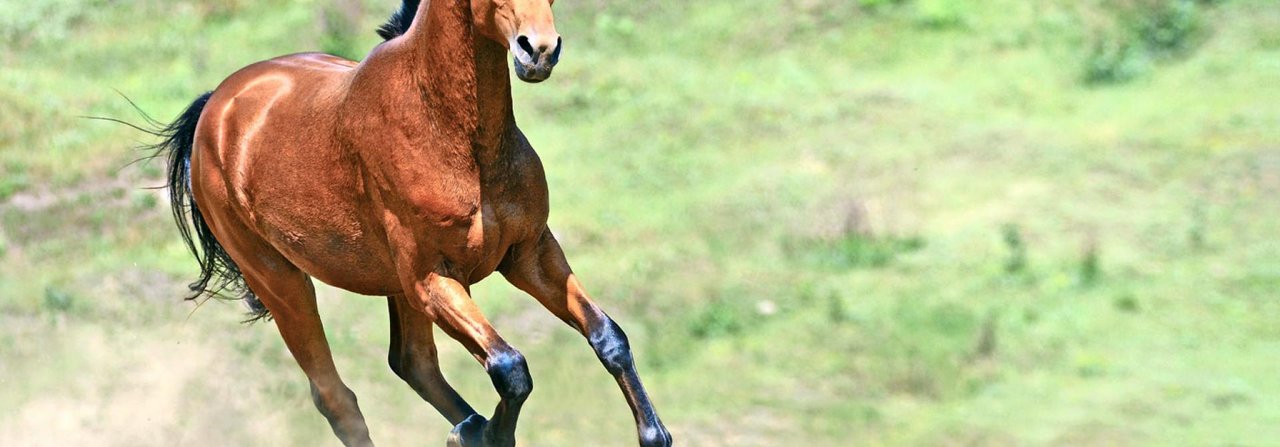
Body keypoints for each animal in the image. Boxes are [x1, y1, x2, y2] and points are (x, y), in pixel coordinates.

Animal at [146, 0, 675, 445]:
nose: (539, 50)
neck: (456, 135)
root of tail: (215, 107)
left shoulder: (529, 253)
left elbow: (608, 337)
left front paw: (655, 435)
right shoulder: (432, 278)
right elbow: (510, 367)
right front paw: (490, 435)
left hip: (393, 283)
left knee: (412, 362)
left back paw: (468, 425)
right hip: (280, 279)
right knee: (338, 398)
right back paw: (468, 429)